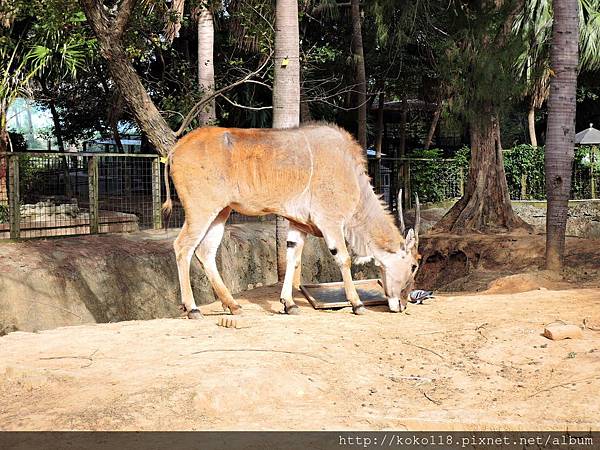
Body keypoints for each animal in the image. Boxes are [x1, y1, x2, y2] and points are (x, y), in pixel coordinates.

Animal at [162, 123, 420, 318]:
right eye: (414, 265)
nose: (403, 303)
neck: (350, 171)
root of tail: (175, 150)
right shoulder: (330, 222)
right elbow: (344, 259)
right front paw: (357, 304)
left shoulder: (298, 225)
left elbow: (292, 259)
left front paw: (289, 303)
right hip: (201, 211)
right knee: (183, 247)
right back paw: (193, 308)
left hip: (220, 213)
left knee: (205, 252)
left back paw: (233, 305)